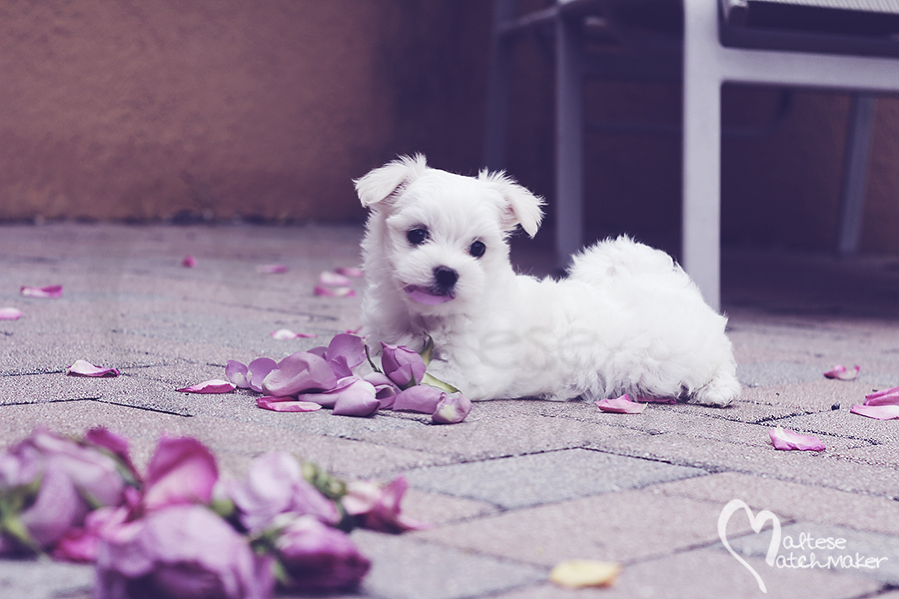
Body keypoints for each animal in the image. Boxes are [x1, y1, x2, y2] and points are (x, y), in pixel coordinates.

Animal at [356, 156, 740, 408]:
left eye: (478, 248)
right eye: (417, 234)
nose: (447, 272)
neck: (426, 320)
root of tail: (670, 284)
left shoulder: (468, 369)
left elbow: (418, 375)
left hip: (691, 351)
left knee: (720, 362)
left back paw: (717, 391)